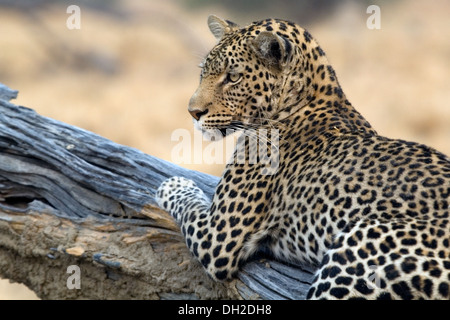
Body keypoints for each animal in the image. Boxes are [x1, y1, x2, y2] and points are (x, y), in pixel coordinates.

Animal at [156, 15, 450, 300]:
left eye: (233, 77)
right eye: (203, 73)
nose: (193, 112)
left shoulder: (217, 237)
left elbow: (188, 202)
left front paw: (173, 183)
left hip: (356, 245)